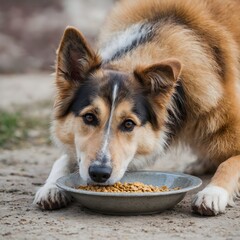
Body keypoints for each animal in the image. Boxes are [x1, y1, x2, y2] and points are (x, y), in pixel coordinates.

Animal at [33, 0, 240, 217]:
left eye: (128, 124)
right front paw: (51, 187)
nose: (99, 174)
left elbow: (228, 163)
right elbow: (64, 159)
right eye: (89, 117)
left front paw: (213, 192)